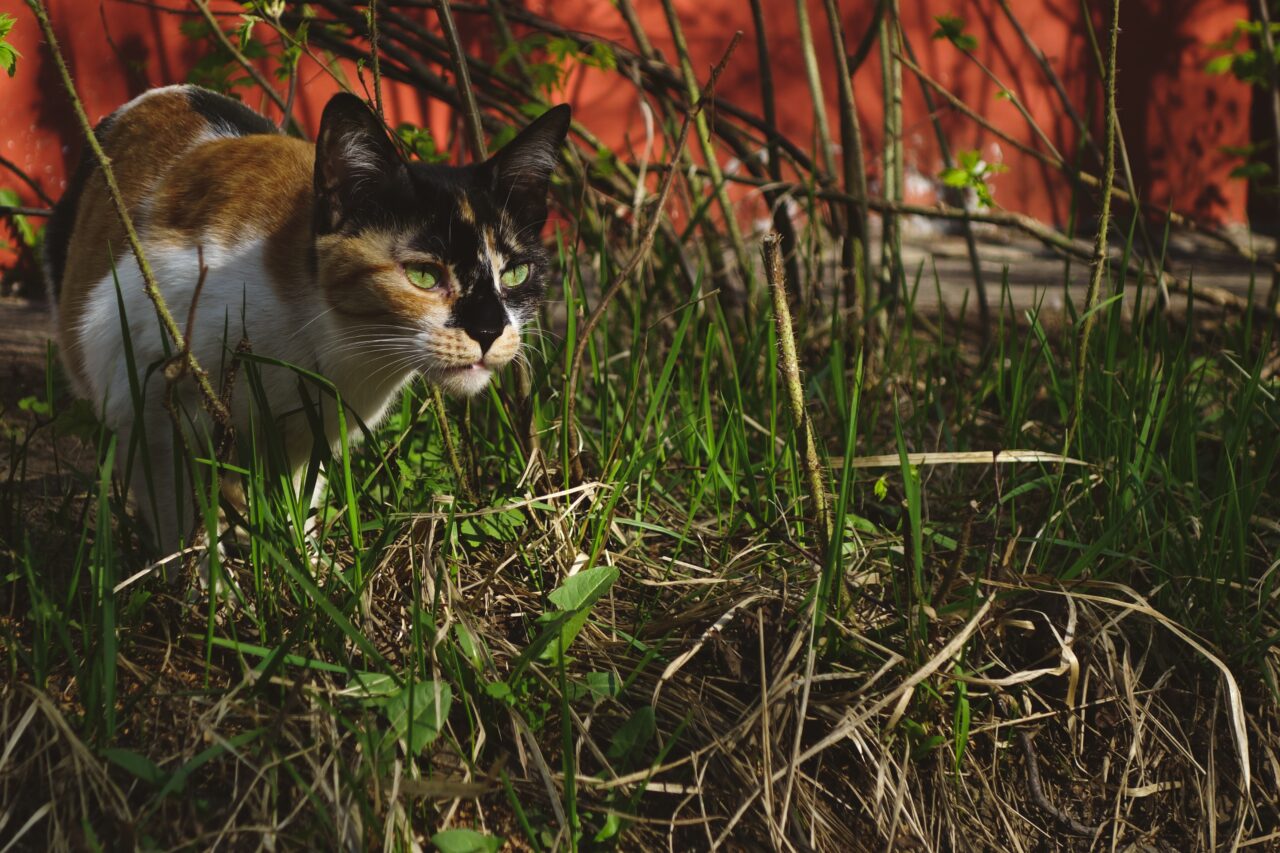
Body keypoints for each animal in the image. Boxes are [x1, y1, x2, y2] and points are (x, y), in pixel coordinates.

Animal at [42, 84, 570, 558]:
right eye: (424, 274)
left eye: (515, 272)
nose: (488, 330)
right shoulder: (147, 405)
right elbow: (181, 520)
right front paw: (210, 594)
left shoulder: (312, 434)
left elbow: (300, 505)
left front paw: (313, 572)